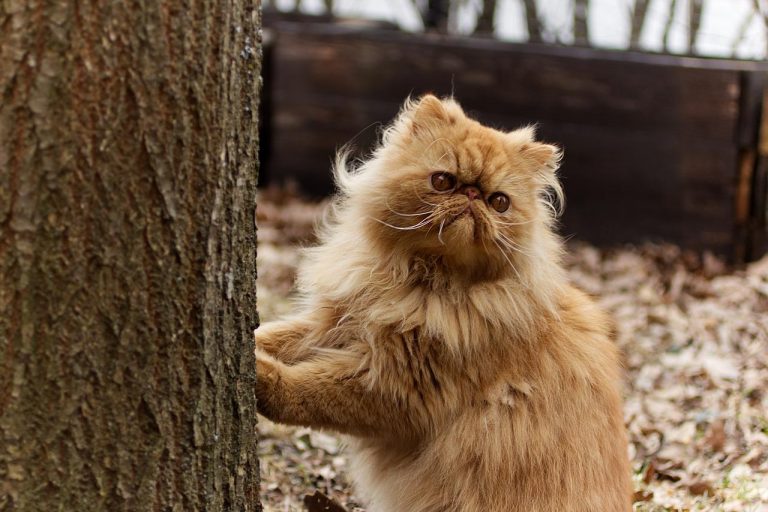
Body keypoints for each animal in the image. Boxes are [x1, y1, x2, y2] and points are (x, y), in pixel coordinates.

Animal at [255, 94, 632, 510]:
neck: (421, 284)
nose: (472, 195)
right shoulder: (335, 323)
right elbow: (277, 335)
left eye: (499, 202)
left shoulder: (399, 387)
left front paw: (260, 374)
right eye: (443, 181)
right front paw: (251, 345)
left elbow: (307, 390)